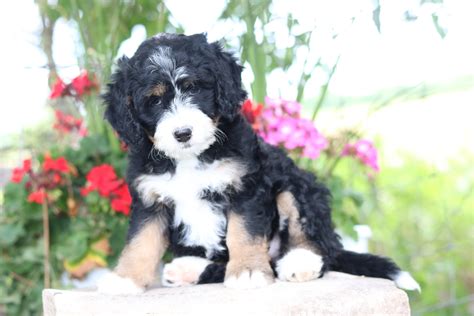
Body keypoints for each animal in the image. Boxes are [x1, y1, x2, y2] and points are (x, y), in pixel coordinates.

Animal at [96, 34, 418, 294]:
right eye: (155, 101)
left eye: (194, 88)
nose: (183, 133)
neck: (191, 158)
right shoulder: (150, 198)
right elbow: (141, 241)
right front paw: (125, 279)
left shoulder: (246, 187)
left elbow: (244, 233)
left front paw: (248, 271)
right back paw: (186, 268)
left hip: (296, 185)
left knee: (315, 243)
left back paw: (299, 261)